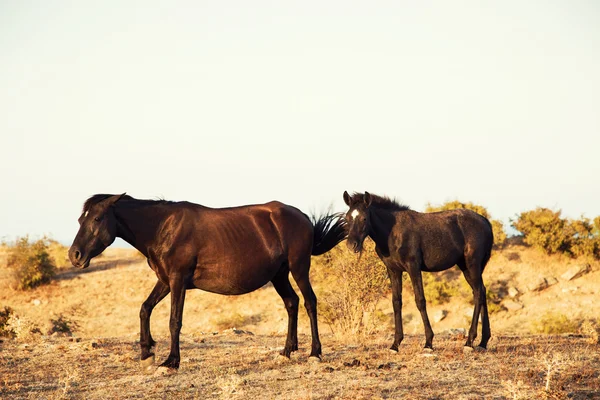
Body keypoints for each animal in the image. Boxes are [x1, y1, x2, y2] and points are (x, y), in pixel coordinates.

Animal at [68, 194, 344, 372]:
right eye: (80, 220)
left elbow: (174, 321)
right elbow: (145, 309)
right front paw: (147, 353)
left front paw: (171, 362)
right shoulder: (165, 281)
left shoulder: (177, 281)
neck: (162, 228)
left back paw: (315, 353)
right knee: (291, 303)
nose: (75, 255)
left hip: (299, 268)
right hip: (279, 275)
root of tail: (302, 216)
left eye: (97, 219)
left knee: (309, 302)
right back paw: (287, 351)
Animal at [342, 192, 492, 352]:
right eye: (347, 218)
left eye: (364, 218)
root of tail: (485, 222)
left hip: (472, 264)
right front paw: (395, 344)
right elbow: (396, 302)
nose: (352, 245)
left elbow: (420, 300)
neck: (393, 232)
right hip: (466, 267)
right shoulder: (394, 270)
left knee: (478, 294)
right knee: (482, 291)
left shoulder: (413, 267)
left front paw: (428, 343)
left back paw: (469, 342)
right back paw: (483, 342)